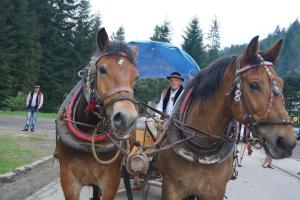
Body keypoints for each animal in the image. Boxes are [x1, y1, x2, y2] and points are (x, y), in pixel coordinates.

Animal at [158, 36, 296, 200]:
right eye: (253, 85)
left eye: (281, 83)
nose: (287, 142)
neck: (200, 151)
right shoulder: (171, 189)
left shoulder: (216, 191)